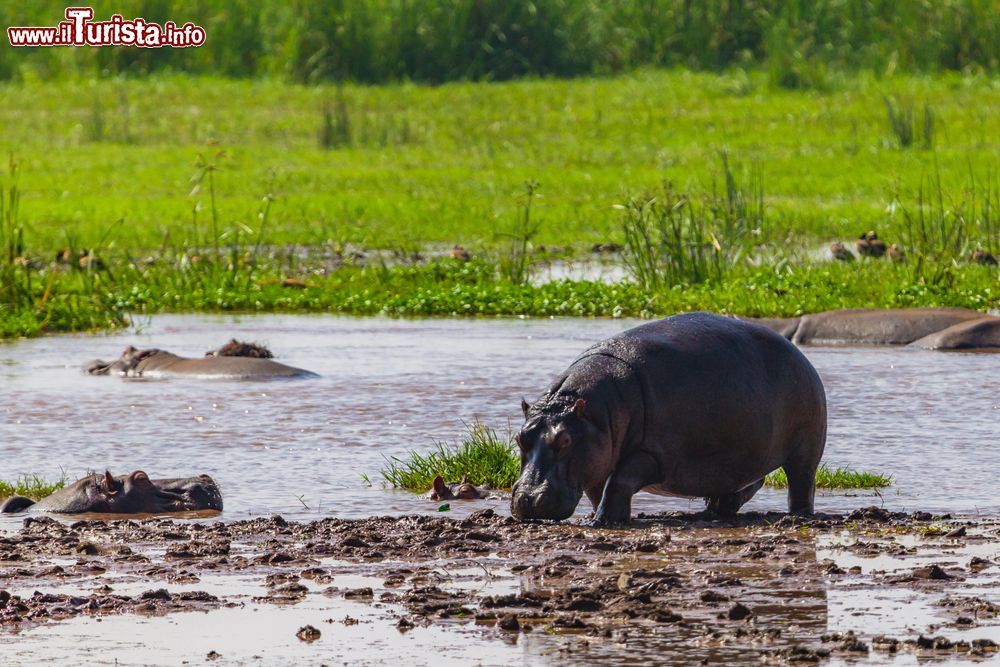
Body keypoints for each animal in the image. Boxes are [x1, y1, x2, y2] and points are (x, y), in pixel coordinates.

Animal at [512, 314, 824, 528]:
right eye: (519, 438)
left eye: (565, 439)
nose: (527, 498)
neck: (595, 412)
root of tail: (801, 356)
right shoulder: (597, 455)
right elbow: (597, 488)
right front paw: (599, 514)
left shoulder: (652, 454)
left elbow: (618, 480)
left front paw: (601, 521)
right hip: (741, 457)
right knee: (745, 483)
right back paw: (713, 511)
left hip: (805, 450)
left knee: (801, 483)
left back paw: (798, 515)